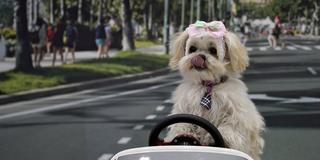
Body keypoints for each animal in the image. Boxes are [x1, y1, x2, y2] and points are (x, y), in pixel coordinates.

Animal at [165, 21, 264, 160]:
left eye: (213, 50)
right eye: (192, 49)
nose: (199, 56)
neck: (208, 85)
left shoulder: (237, 115)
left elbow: (230, 126)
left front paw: (222, 137)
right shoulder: (184, 108)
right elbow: (181, 125)